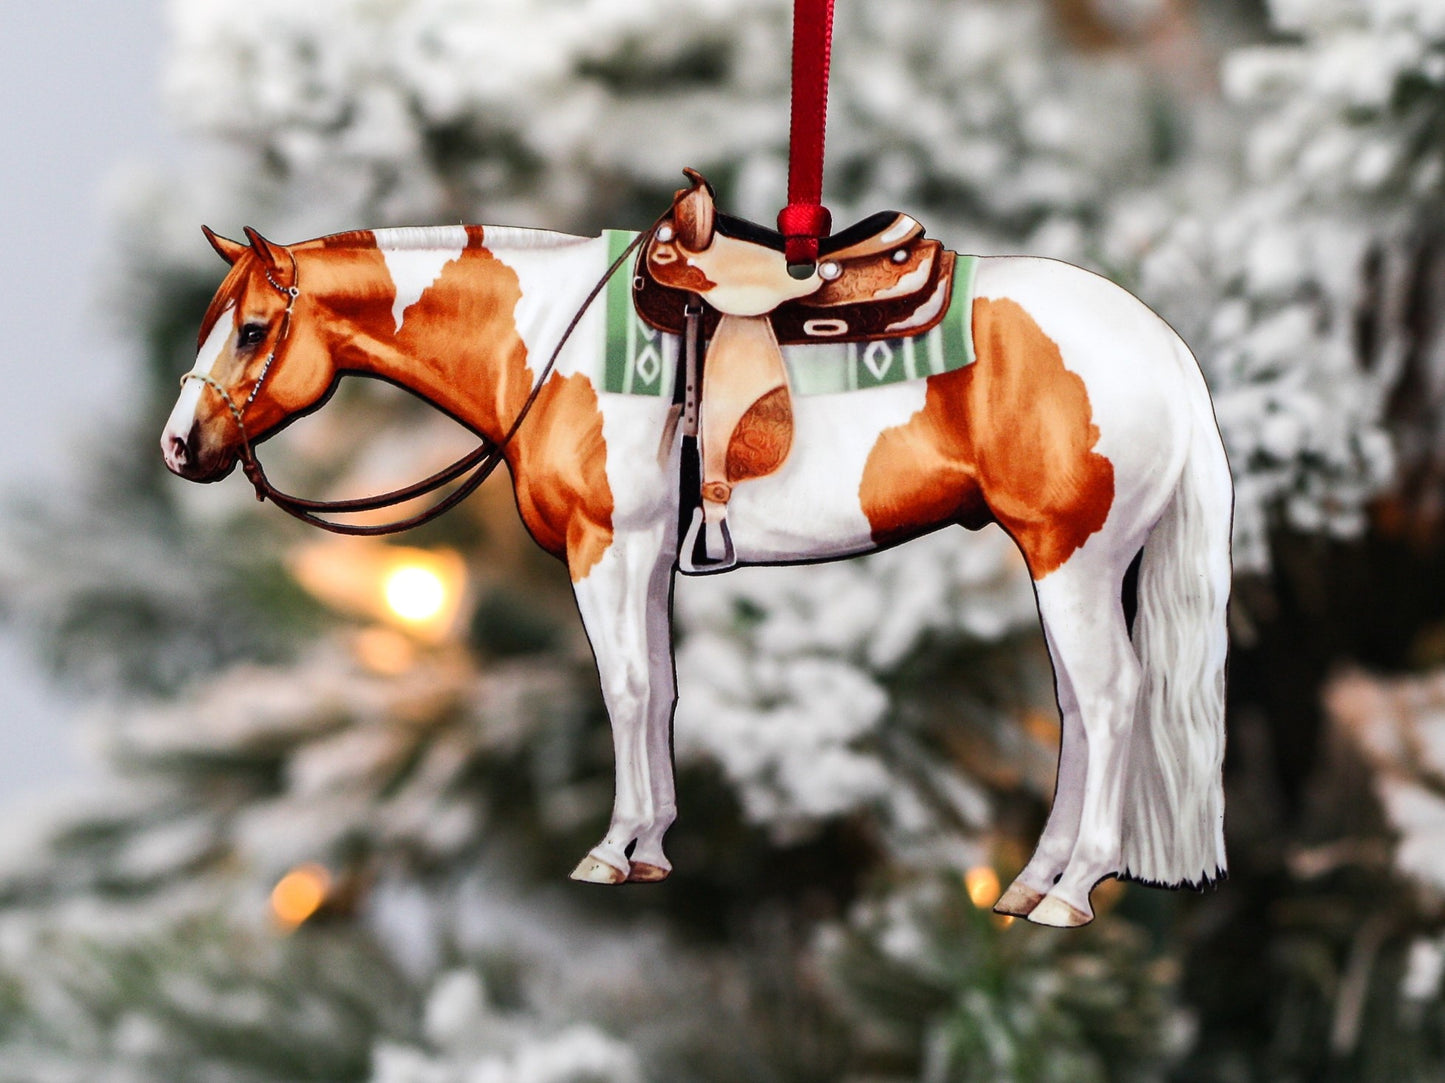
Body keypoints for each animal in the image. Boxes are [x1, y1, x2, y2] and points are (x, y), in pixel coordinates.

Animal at [166, 221, 1231, 931]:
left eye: (252, 329)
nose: (179, 446)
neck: (550, 341)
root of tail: (1164, 346)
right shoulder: (640, 556)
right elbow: (660, 688)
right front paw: (650, 845)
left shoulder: (606, 544)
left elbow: (624, 688)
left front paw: (610, 850)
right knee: (1079, 707)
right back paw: (1032, 881)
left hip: (1072, 559)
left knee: (1111, 697)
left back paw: (1072, 891)